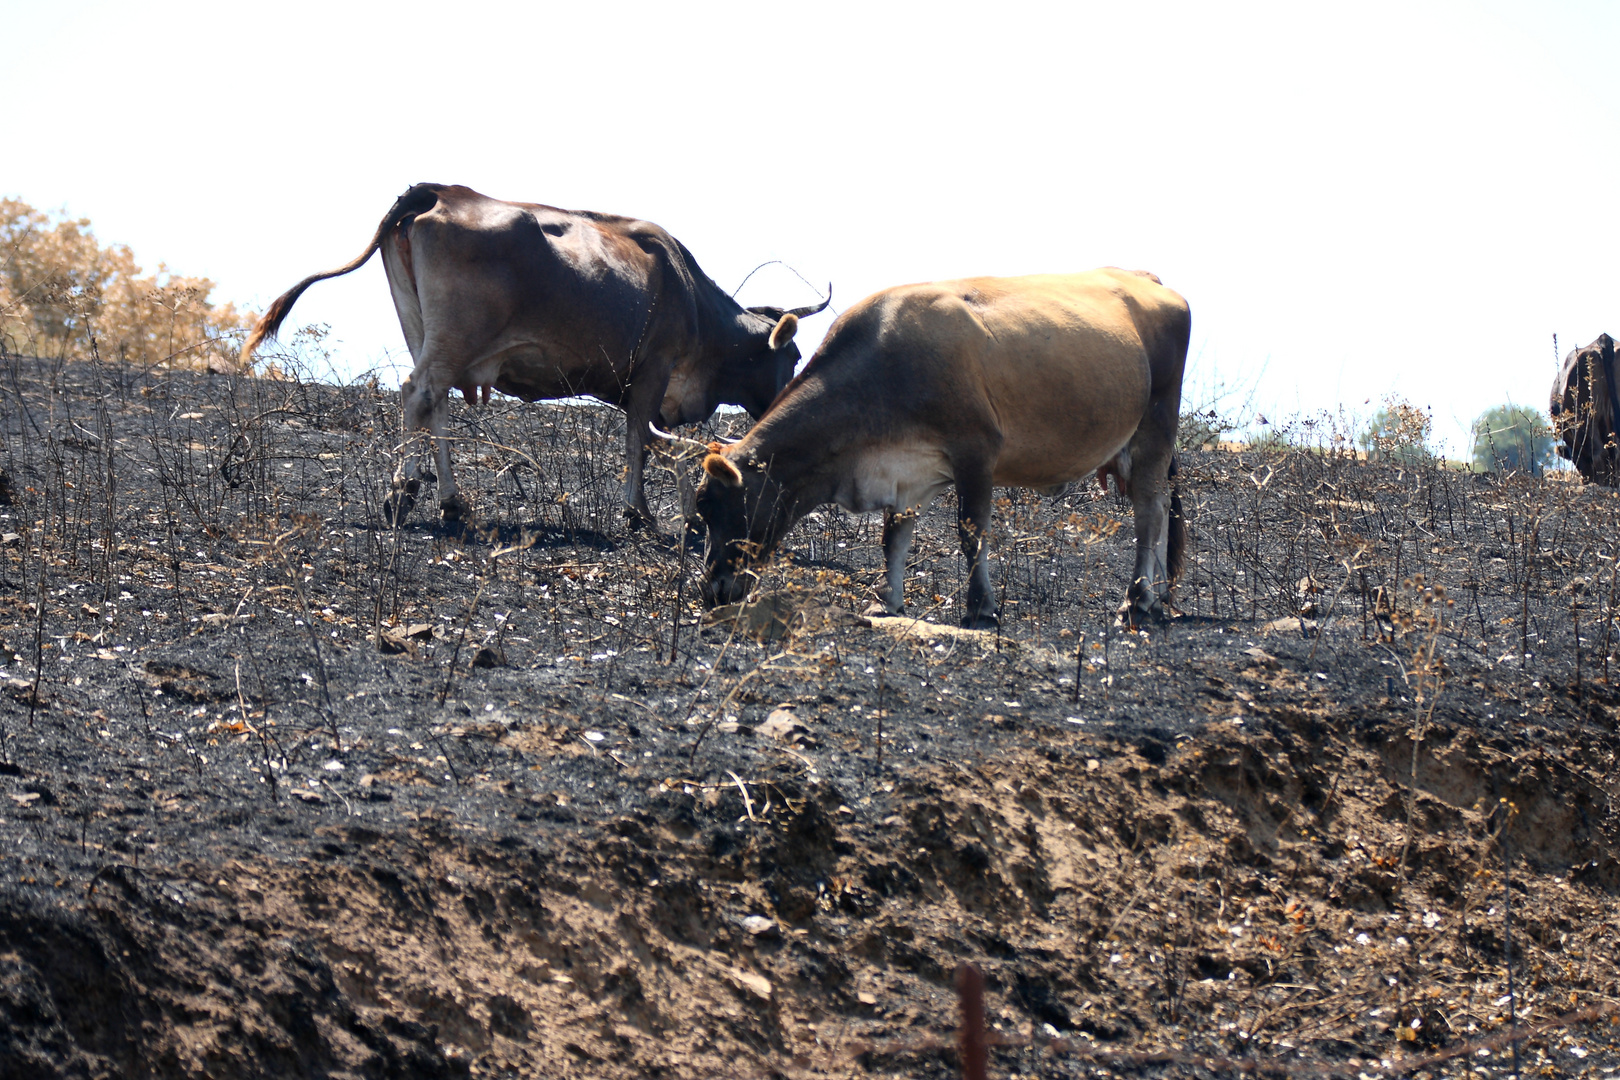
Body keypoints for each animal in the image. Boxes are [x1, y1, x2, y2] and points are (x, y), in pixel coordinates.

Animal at [243, 184, 822, 527]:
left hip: (422, 328)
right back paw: (403, 493)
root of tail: (441, 190)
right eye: (794, 356)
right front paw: (638, 513)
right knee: (418, 393)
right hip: (455, 336)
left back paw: (451, 501)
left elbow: (651, 442)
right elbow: (638, 441)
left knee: (436, 405)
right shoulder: (652, 372)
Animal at [657, 265, 1192, 628]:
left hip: (1155, 426)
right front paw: (887, 600)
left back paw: (1137, 599)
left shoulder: (977, 451)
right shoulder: (903, 472)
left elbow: (971, 533)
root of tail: (1143, 278)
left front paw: (981, 608)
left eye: (715, 505)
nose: (713, 590)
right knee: (1159, 509)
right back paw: (1161, 595)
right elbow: (893, 539)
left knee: (1149, 511)